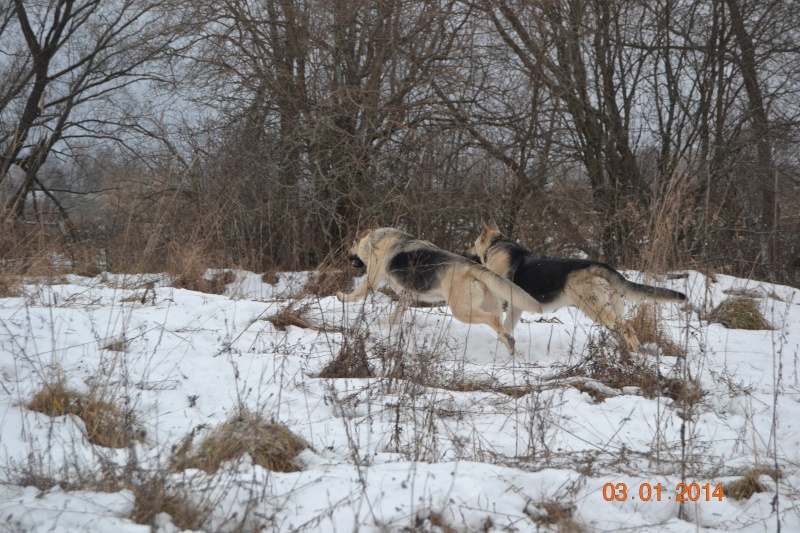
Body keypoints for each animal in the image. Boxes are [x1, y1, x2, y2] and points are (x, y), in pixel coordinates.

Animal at [338, 225, 544, 354]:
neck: (375, 240)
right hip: (486, 305)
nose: (346, 254)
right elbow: (396, 316)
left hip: (462, 310)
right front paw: (390, 326)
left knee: (493, 320)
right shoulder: (406, 296)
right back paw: (509, 347)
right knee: (501, 325)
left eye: (354, 242)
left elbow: (355, 295)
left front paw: (342, 297)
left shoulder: (372, 280)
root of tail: (472, 267)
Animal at [468, 218, 688, 352]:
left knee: (626, 326)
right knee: (622, 328)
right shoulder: (516, 308)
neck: (497, 245)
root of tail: (600, 265)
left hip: (595, 310)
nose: (465, 252)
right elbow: (506, 328)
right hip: (610, 309)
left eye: (473, 243)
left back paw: (636, 353)